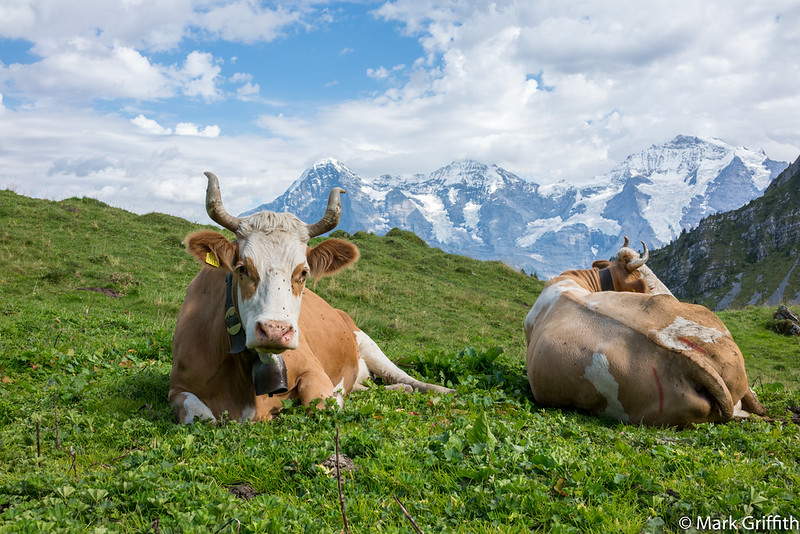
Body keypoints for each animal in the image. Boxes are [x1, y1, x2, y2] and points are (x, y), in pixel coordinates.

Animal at [169, 172, 453, 424]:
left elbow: (321, 405)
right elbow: (202, 417)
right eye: (242, 268)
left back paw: (441, 390)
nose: (275, 330)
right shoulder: (177, 388)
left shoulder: (315, 371)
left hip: (367, 342)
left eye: (303, 272)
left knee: (403, 377)